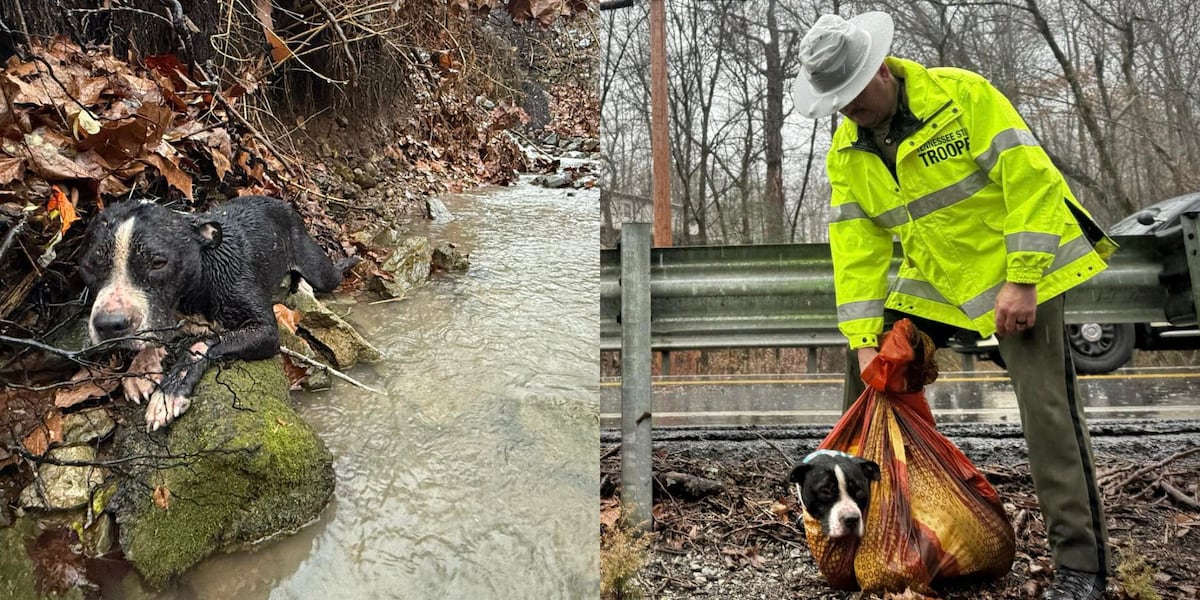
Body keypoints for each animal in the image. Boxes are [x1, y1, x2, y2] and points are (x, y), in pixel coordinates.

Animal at [78, 195, 345, 432]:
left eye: (158, 263)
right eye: (88, 266)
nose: (109, 324)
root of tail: (280, 201)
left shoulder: (265, 331)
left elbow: (200, 345)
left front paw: (170, 391)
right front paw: (142, 367)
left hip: (320, 271)